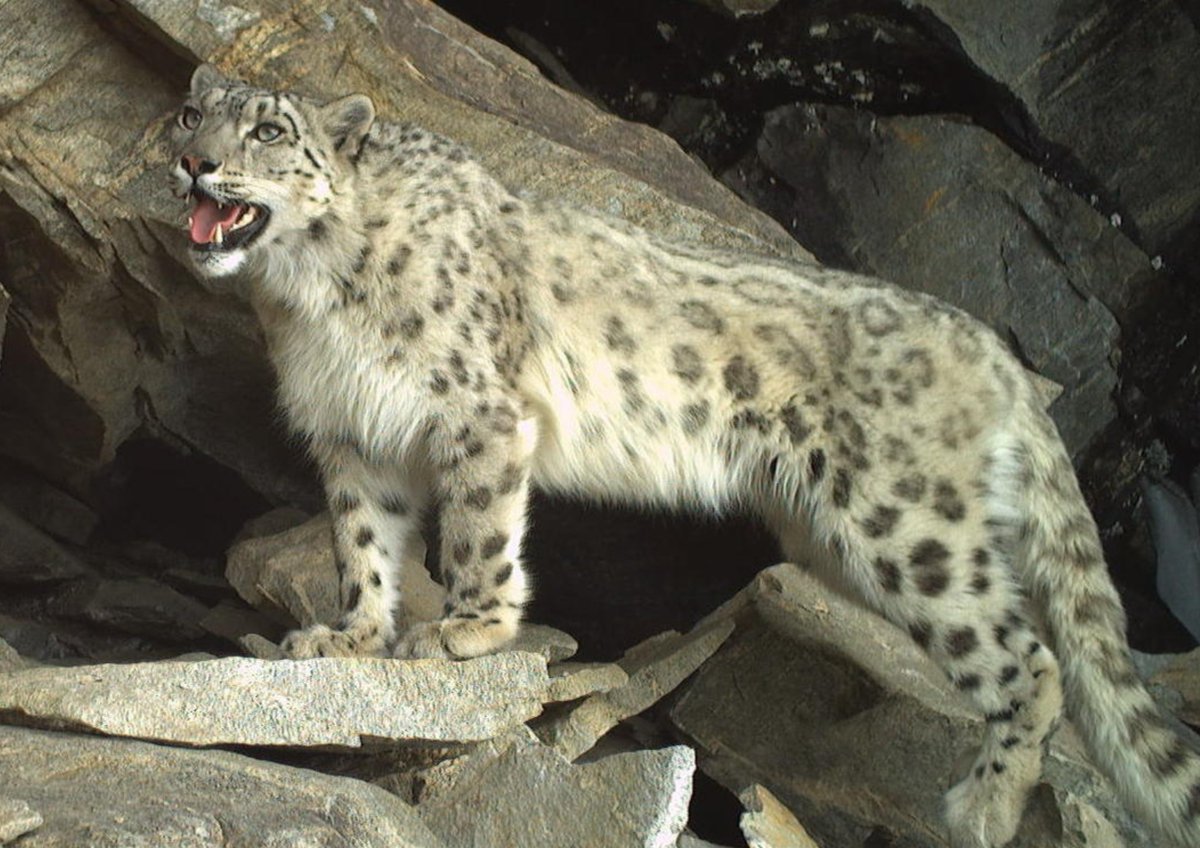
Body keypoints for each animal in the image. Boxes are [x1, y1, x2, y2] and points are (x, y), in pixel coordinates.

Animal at [170, 64, 1200, 847]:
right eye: (190, 112)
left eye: (268, 129)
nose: (192, 162)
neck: (307, 297)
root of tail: (994, 349)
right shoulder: (353, 437)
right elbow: (363, 544)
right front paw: (347, 637)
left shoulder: (477, 413)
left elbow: (475, 531)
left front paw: (468, 630)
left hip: (906, 522)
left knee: (1034, 655)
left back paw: (984, 804)